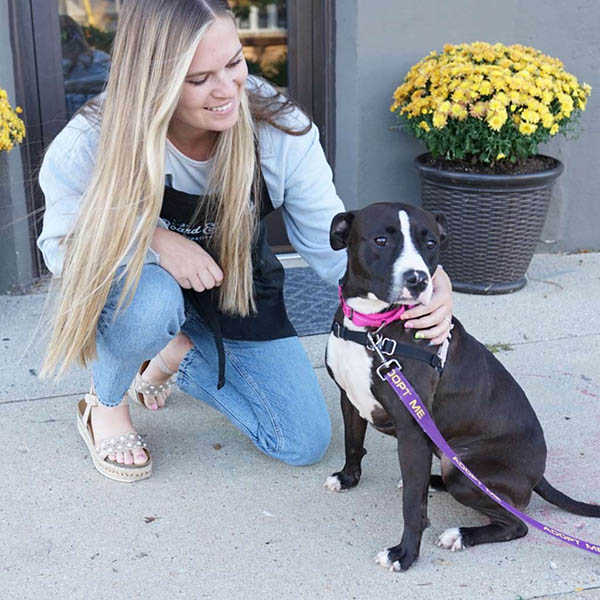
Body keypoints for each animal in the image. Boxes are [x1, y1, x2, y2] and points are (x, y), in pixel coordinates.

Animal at [324, 202, 600, 572]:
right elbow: (353, 445)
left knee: (517, 524)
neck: (372, 326)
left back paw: (461, 534)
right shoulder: (350, 399)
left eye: (430, 244)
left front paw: (405, 554)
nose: (418, 280)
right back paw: (433, 484)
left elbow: (412, 506)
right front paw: (347, 478)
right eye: (381, 239)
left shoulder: (412, 430)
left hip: (464, 474)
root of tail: (538, 474)